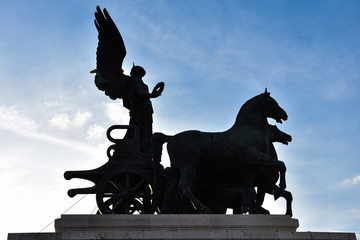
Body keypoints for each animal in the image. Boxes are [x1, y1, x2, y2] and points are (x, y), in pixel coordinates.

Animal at [153, 89, 288, 213]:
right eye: (271, 101)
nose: (285, 114)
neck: (250, 129)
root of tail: (171, 137)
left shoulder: (251, 167)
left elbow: (248, 186)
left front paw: (247, 207)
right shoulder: (256, 157)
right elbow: (281, 164)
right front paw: (280, 189)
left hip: (177, 169)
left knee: (170, 187)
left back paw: (166, 211)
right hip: (189, 166)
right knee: (184, 185)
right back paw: (203, 208)